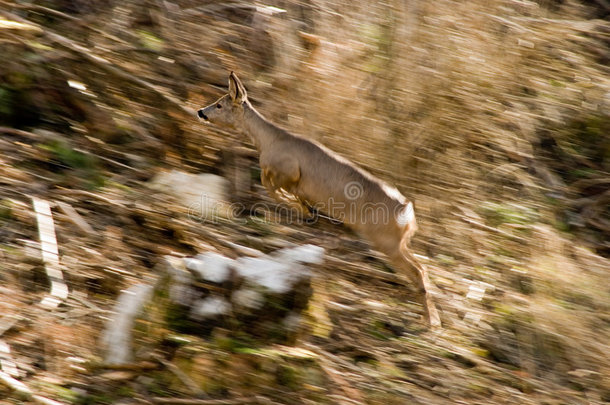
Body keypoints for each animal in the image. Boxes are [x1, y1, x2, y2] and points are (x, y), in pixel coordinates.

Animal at [197, 72, 440, 326]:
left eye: (219, 104)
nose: (201, 111)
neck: (268, 142)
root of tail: (408, 212)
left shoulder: (289, 170)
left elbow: (270, 185)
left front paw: (300, 208)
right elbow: (275, 186)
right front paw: (304, 208)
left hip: (385, 240)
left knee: (417, 271)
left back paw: (430, 322)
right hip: (398, 242)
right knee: (422, 269)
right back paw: (432, 319)